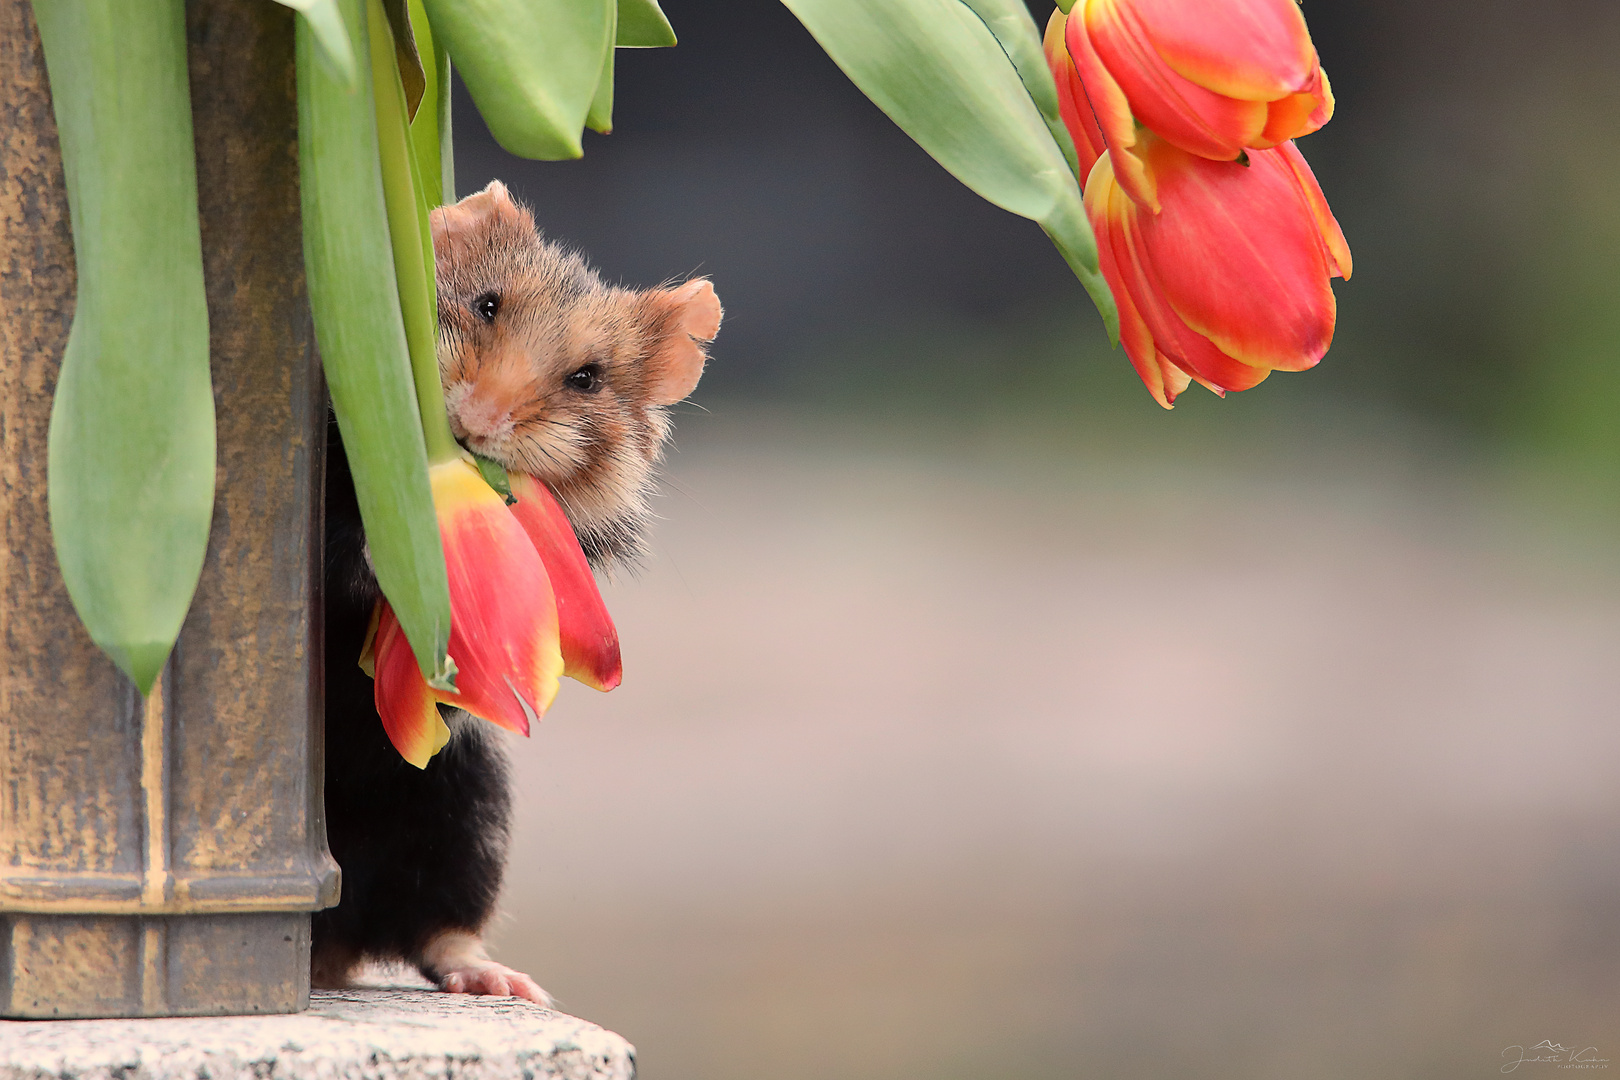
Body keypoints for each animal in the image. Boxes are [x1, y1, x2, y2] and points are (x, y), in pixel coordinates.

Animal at [309, 181, 722, 1003]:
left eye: (587, 378)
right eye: (488, 305)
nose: (476, 422)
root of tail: (330, 953)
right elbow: (341, 546)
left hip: (464, 804)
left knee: (437, 928)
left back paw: (502, 982)